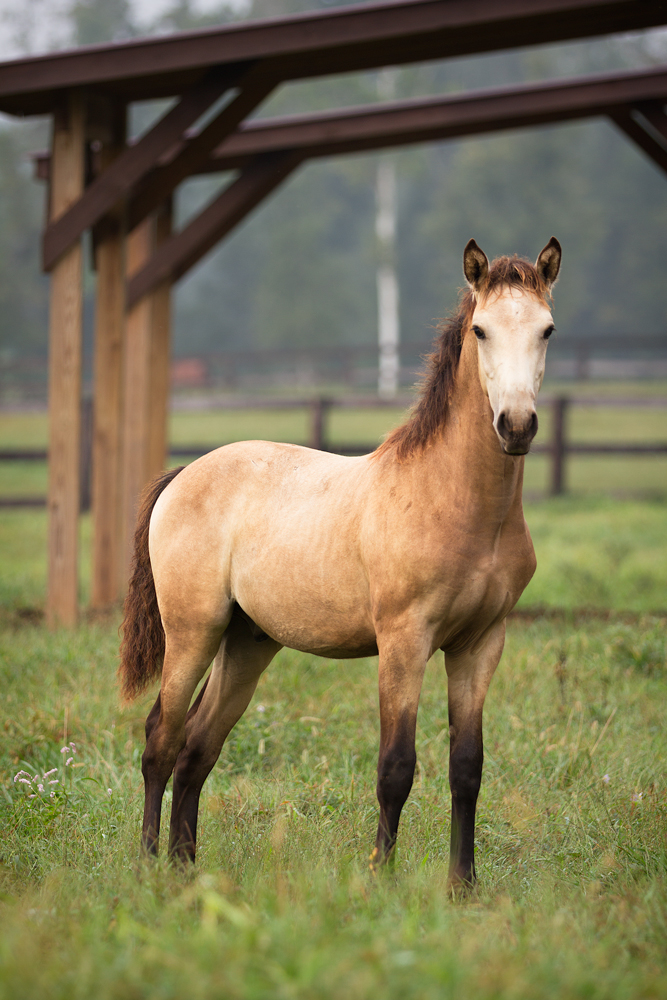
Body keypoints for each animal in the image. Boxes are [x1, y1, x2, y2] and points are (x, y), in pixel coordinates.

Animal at [121, 238, 564, 888]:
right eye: (481, 330)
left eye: (547, 330)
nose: (516, 425)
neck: (453, 499)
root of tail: (181, 477)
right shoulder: (405, 641)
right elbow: (396, 766)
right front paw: (380, 876)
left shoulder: (481, 643)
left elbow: (467, 767)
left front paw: (462, 886)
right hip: (193, 631)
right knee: (162, 739)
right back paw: (151, 867)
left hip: (247, 642)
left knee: (198, 748)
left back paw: (186, 866)